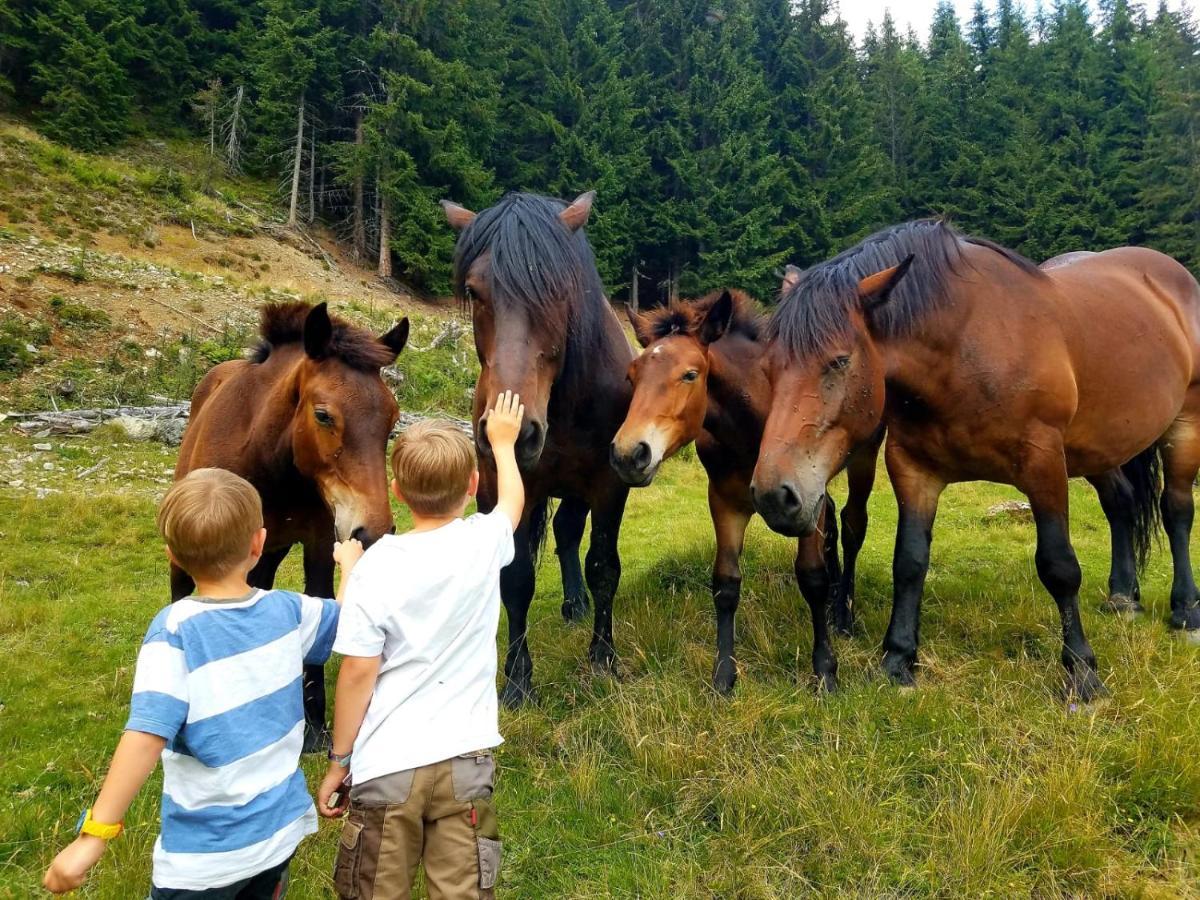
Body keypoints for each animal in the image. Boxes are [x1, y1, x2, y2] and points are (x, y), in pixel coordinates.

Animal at [174, 303, 408, 748]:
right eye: (323, 415)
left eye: (393, 418)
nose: (372, 532)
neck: (269, 462)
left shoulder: (319, 543)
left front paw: (314, 725)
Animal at [444, 192, 638, 710]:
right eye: (474, 291)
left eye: (558, 290)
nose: (513, 432)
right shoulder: (513, 488)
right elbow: (515, 580)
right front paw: (516, 680)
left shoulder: (609, 485)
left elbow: (603, 567)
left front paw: (603, 658)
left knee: (569, 533)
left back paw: (576, 604)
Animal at [609, 292, 883, 696]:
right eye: (631, 375)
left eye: (690, 374)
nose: (629, 454)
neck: (753, 421)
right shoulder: (725, 501)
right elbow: (725, 583)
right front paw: (724, 676)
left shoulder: (803, 497)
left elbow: (812, 577)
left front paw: (825, 671)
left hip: (862, 461)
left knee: (851, 526)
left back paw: (844, 615)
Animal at [748, 220, 1200, 705]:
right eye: (768, 368)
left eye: (838, 361)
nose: (774, 495)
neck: (964, 349)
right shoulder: (913, 470)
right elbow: (908, 562)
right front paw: (897, 661)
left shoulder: (1044, 465)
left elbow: (1059, 567)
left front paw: (1082, 674)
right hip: (1099, 447)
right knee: (1121, 504)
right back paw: (1123, 598)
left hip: (1184, 427)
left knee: (1176, 511)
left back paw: (1185, 611)